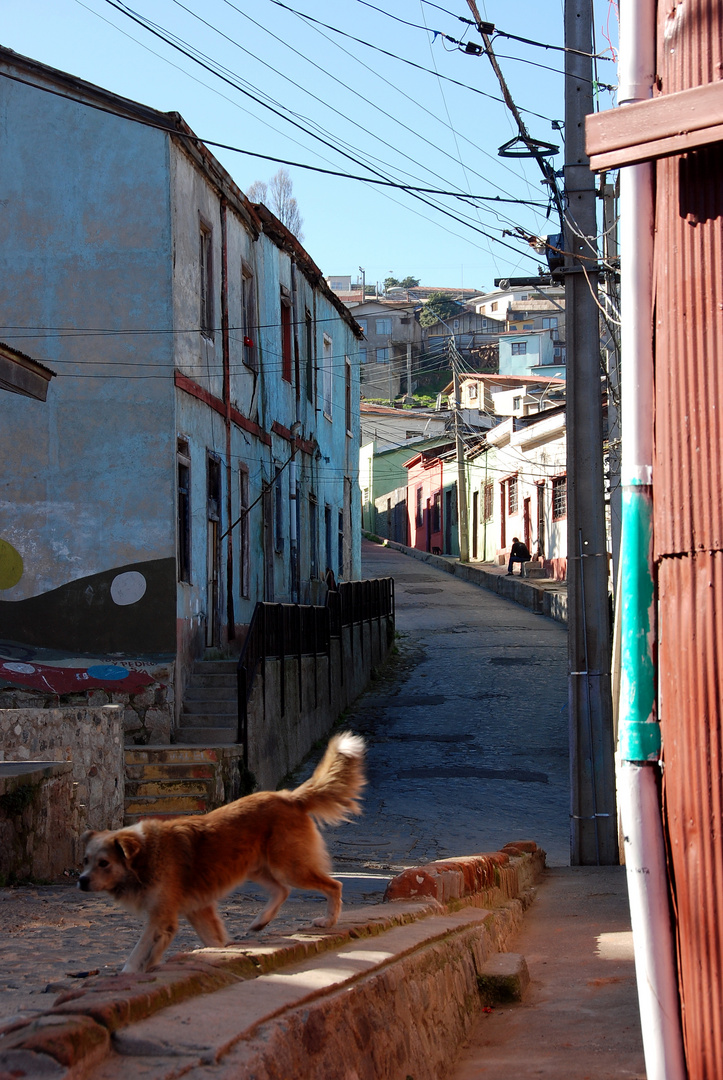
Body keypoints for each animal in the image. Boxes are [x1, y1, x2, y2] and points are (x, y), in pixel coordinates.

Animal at [77, 734, 367, 972]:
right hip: (256, 867)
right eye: (86, 861)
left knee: (333, 885)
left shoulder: (162, 919)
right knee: (282, 890)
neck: (146, 855)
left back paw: (328, 921)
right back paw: (260, 922)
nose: (80, 881)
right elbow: (215, 940)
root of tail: (289, 797)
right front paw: (226, 952)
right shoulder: (198, 910)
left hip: (290, 867)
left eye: (104, 863)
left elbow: (136, 958)